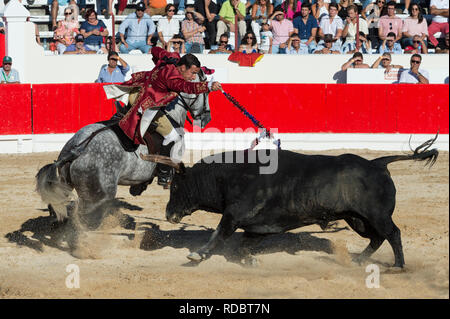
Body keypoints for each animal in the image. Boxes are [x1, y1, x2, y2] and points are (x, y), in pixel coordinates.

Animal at [35, 71, 211, 239]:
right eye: (206, 93)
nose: (206, 117)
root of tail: (76, 149)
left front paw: (137, 188)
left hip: (63, 185)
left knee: (58, 208)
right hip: (98, 196)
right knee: (85, 219)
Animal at [163, 136, 438, 268]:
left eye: (175, 186)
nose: (168, 214)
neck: (230, 175)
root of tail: (377, 163)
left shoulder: (234, 215)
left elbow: (218, 234)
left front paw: (197, 255)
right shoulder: (258, 227)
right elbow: (243, 247)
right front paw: (251, 261)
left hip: (377, 215)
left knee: (393, 233)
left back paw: (399, 265)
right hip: (357, 219)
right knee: (377, 238)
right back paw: (359, 260)